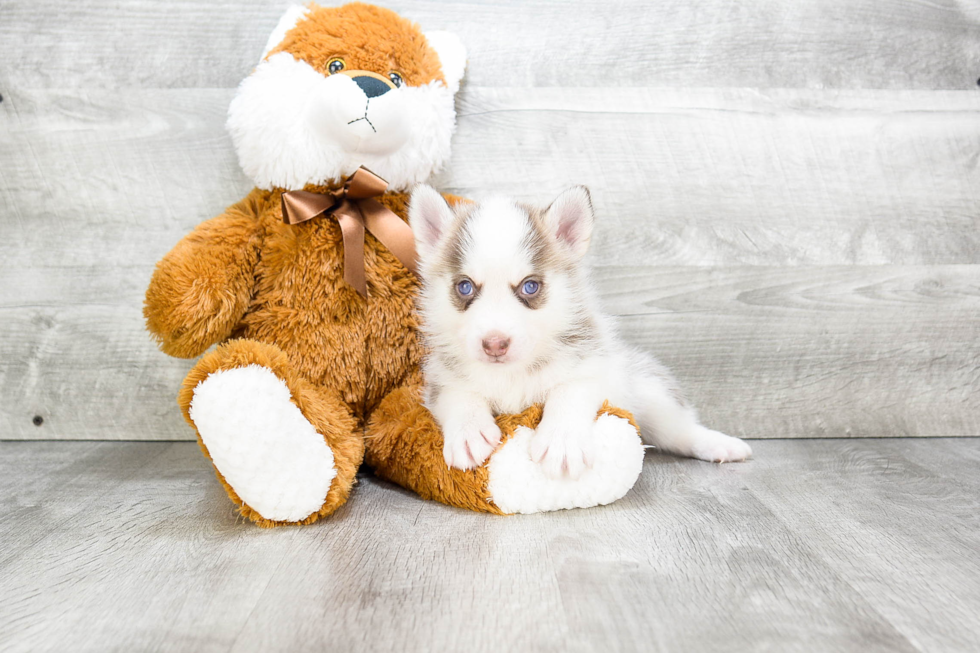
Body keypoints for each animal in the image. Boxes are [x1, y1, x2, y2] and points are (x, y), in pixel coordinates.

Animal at [406, 186, 752, 476]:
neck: (512, 375)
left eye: (530, 286)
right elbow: (459, 394)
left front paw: (562, 441)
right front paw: (468, 431)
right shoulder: (439, 378)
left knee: (679, 428)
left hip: (649, 389)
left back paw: (720, 444)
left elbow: (569, 390)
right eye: (464, 287)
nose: (494, 344)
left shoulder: (595, 367)